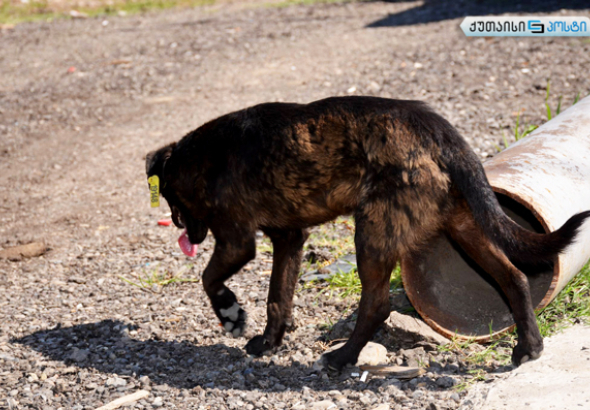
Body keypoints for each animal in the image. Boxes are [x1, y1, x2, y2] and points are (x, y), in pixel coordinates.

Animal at [148, 97, 590, 372]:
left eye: (168, 195)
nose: (178, 226)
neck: (206, 155)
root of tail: (433, 127)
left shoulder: (237, 241)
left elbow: (209, 278)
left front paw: (231, 314)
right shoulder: (289, 239)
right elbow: (278, 298)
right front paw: (269, 342)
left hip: (372, 232)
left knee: (376, 305)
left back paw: (342, 358)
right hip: (463, 226)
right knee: (513, 276)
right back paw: (529, 348)